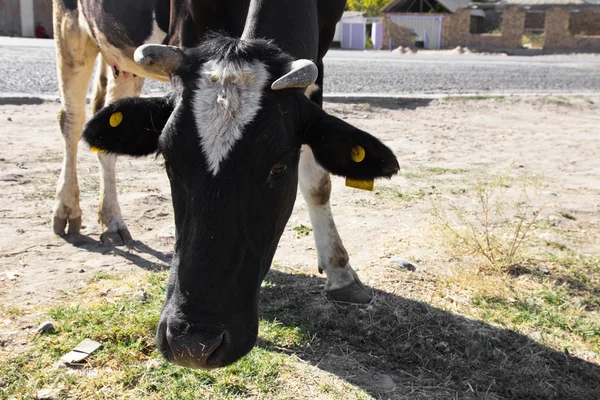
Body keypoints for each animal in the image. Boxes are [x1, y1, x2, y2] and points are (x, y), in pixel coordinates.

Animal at [79, 0, 398, 368]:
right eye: (169, 161)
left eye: (278, 167)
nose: (192, 343)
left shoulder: (321, 53)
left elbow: (318, 182)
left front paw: (340, 272)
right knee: (70, 117)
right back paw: (88, 218)